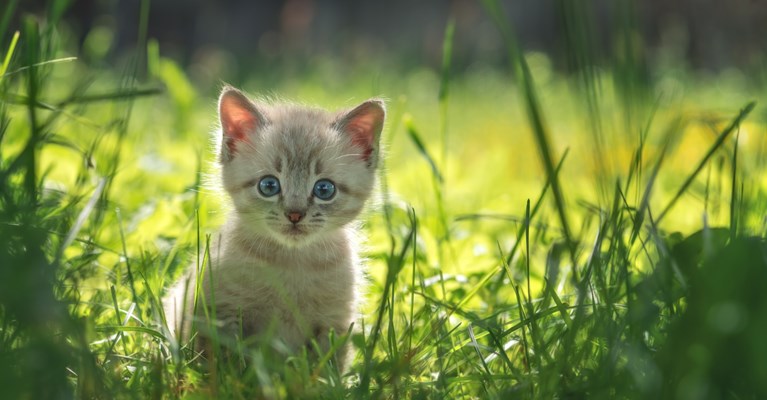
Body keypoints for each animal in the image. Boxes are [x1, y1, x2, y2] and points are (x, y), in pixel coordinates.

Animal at [166, 87, 388, 372]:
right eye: (269, 186)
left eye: (324, 189)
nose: (294, 214)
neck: (291, 264)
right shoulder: (219, 312)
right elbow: (222, 363)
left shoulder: (334, 322)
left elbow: (326, 368)